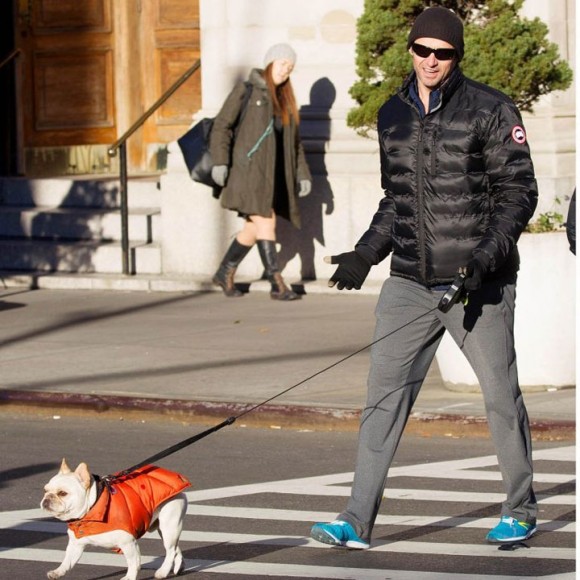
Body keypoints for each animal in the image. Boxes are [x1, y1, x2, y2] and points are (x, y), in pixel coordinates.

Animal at [41, 460, 190, 576]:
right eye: (45, 490)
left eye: (62, 493)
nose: (47, 499)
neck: (93, 508)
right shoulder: (76, 545)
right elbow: (68, 560)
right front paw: (58, 571)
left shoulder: (128, 543)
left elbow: (133, 563)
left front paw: (129, 577)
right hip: (164, 529)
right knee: (175, 548)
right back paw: (179, 566)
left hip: (169, 525)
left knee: (170, 550)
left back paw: (163, 571)